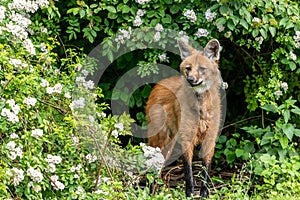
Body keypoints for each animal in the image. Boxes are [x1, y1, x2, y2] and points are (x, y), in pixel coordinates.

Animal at [145, 38, 223, 198]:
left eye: (202, 68)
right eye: (188, 68)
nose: (191, 79)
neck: (201, 109)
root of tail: (158, 84)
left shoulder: (209, 138)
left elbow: (205, 172)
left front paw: (204, 195)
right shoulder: (187, 138)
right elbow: (188, 173)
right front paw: (190, 194)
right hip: (162, 140)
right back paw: (151, 193)